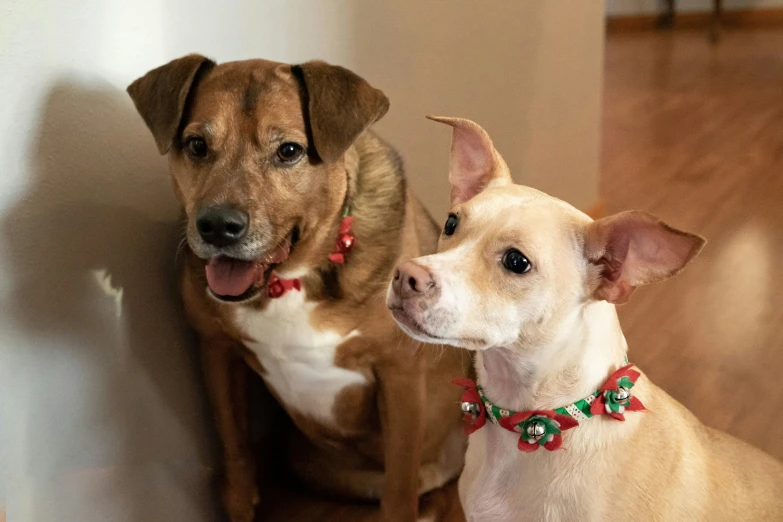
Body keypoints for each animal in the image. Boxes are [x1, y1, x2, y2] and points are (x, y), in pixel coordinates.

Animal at [128, 57, 468, 520]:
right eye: (197, 145)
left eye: (289, 151)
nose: (217, 226)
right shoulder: (216, 350)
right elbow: (236, 458)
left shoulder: (400, 375)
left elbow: (399, 493)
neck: (292, 279)